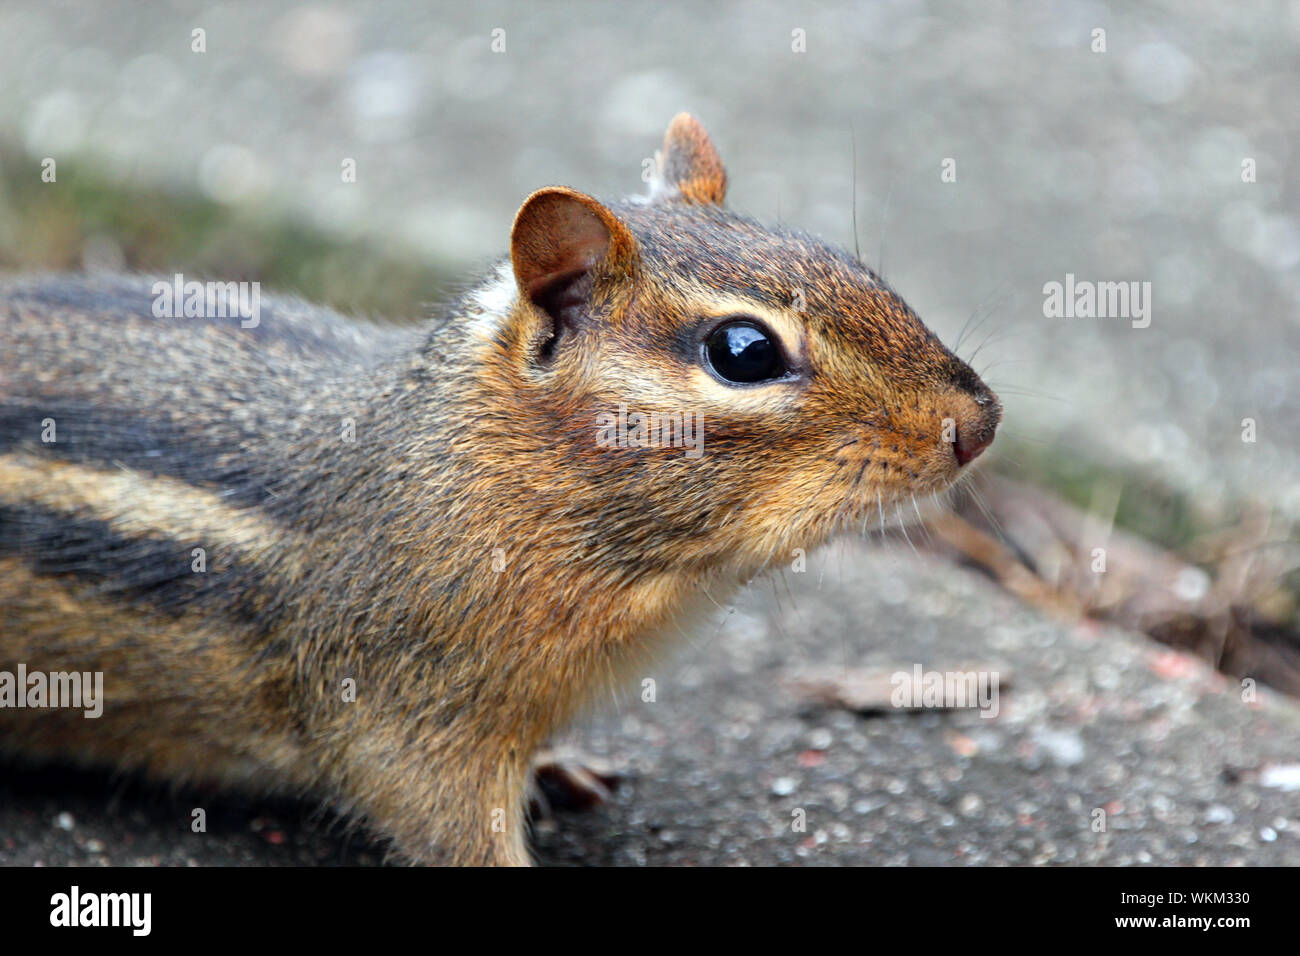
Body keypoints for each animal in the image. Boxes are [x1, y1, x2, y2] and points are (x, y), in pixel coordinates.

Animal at [0, 114, 1000, 865]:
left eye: (853, 265)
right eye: (743, 351)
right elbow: (448, 828)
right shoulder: (406, 718)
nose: (980, 422)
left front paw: (561, 772)